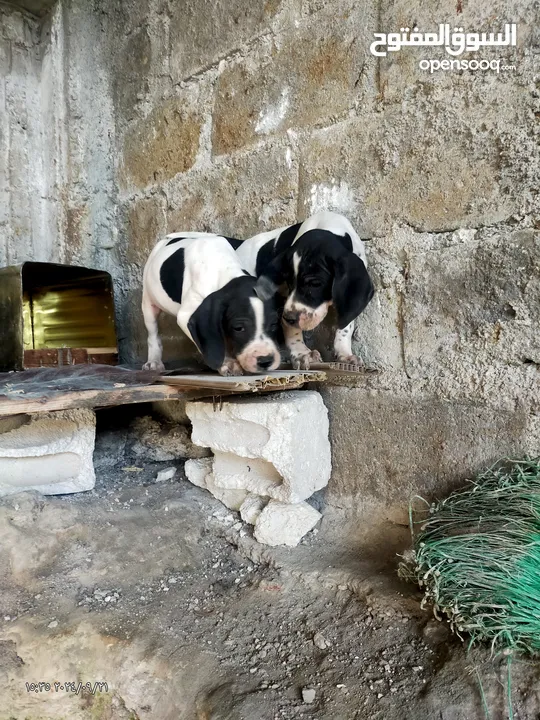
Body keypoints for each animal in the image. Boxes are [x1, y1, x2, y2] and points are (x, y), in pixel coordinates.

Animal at [139, 233, 282, 376]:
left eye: (274, 324)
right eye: (238, 328)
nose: (266, 360)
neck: (224, 268)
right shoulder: (186, 315)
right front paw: (226, 363)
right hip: (148, 303)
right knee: (152, 333)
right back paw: (154, 361)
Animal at [236, 211, 376, 368]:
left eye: (315, 284)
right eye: (289, 282)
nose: (289, 318)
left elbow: (346, 324)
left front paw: (344, 353)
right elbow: (292, 329)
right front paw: (302, 353)